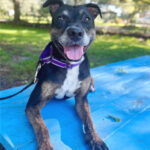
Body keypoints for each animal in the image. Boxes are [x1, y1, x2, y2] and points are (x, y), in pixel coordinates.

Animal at [25, 0, 108, 149]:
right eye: (61, 18)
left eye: (87, 19)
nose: (75, 32)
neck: (69, 65)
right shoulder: (33, 104)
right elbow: (42, 127)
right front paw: (45, 145)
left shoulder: (81, 100)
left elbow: (89, 121)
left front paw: (96, 140)